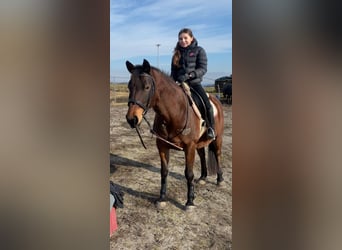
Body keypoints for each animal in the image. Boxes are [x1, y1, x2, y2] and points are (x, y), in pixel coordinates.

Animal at [125, 59, 224, 210]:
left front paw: (190, 201)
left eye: (147, 87)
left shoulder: (189, 147)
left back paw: (220, 179)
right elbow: (164, 172)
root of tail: (216, 100)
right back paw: (203, 178)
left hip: (217, 138)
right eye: (129, 86)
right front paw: (162, 198)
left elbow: (188, 173)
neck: (175, 113)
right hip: (199, 142)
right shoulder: (162, 146)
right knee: (202, 155)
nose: (132, 119)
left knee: (217, 155)